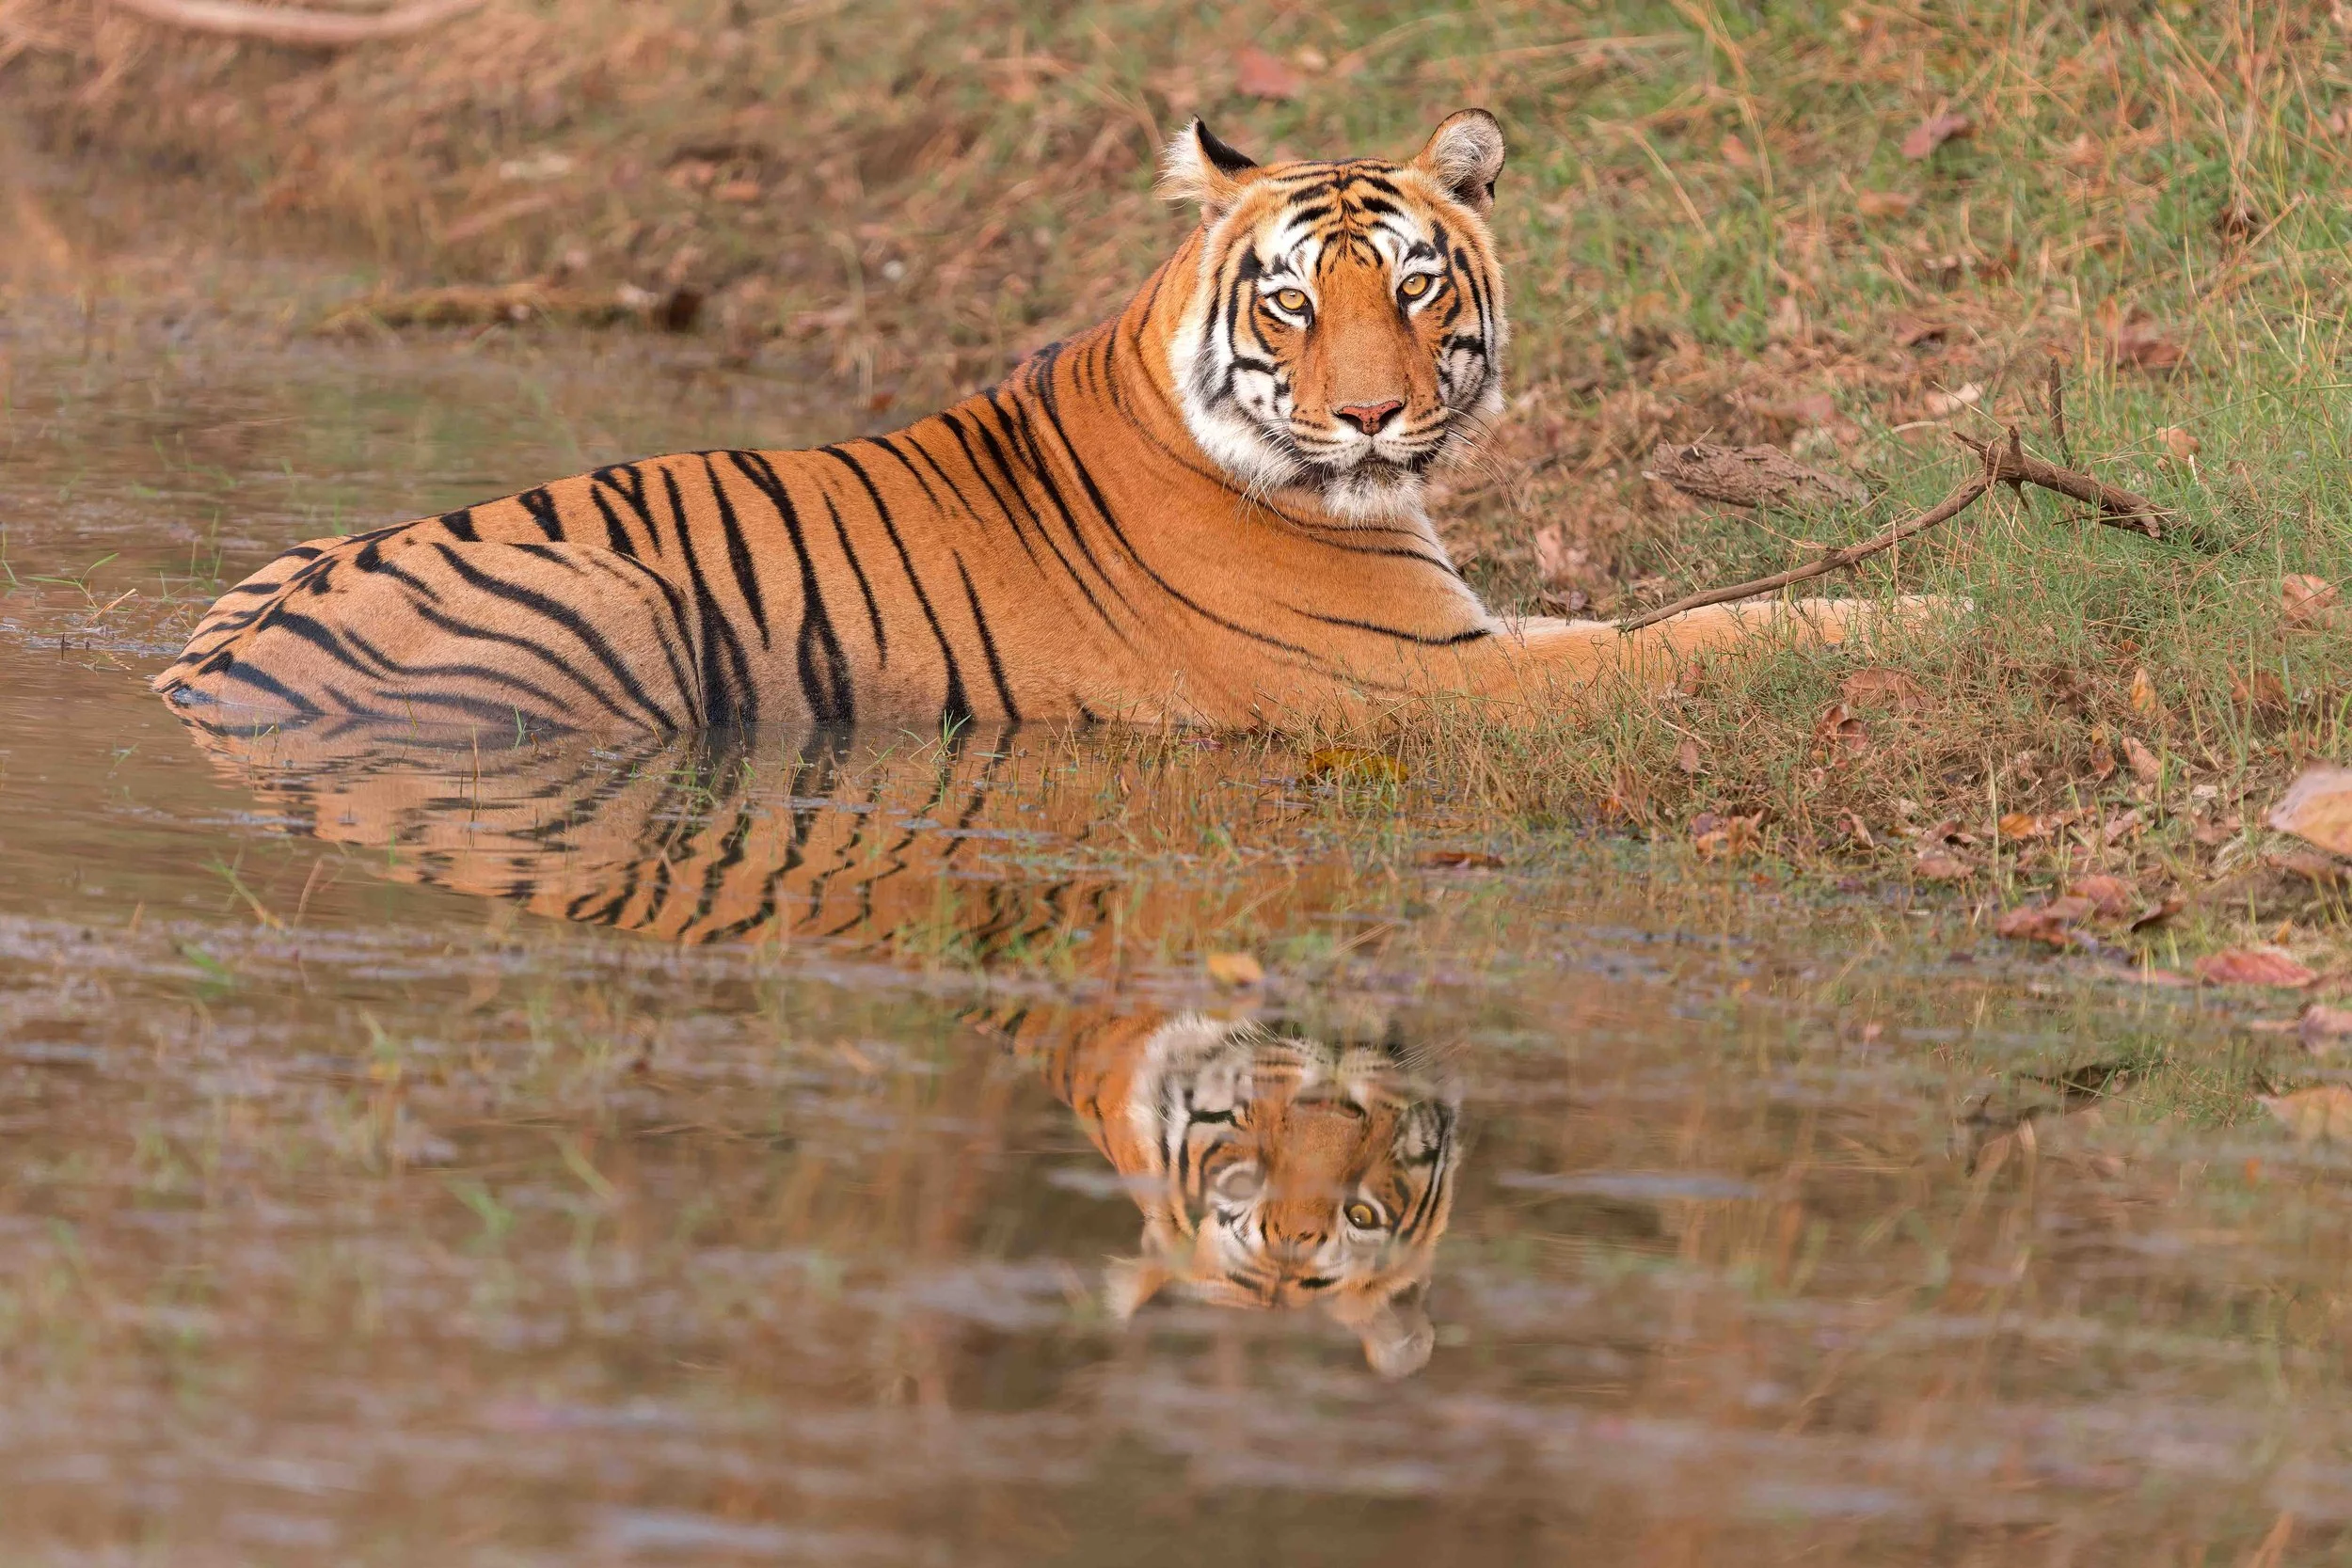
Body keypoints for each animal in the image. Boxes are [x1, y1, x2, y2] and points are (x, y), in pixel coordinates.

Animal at [154, 109, 1911, 734]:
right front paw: (1936, 613)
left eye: (1416, 287)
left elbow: (1679, 618)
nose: (1370, 417)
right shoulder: (1431, 681)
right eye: (1295, 302)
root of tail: (201, 670)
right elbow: (1698, 642)